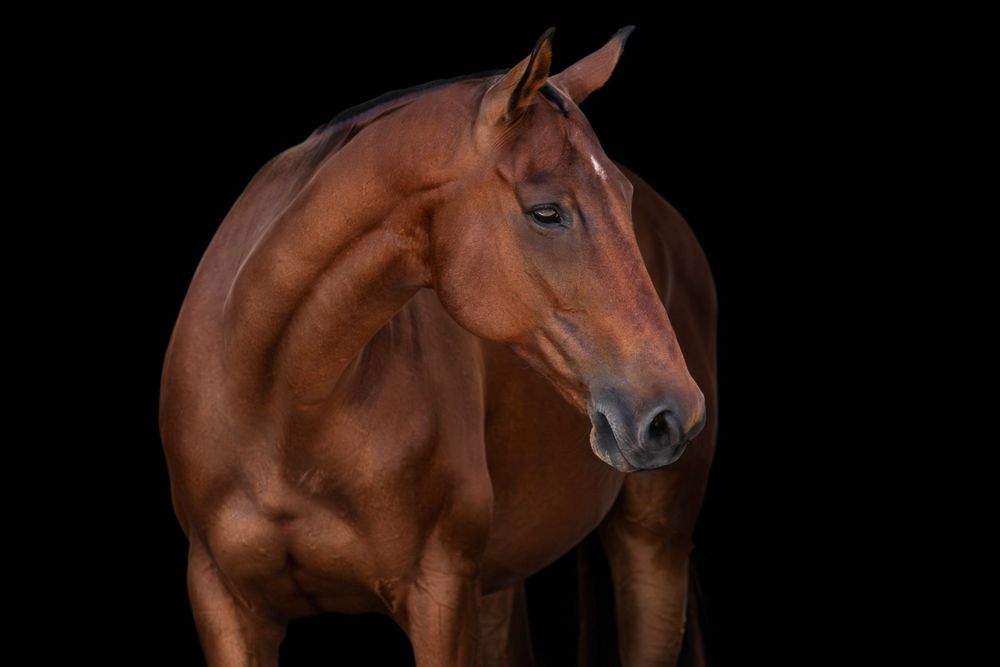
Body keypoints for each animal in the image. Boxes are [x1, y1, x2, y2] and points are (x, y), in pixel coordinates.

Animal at [159, 26, 717, 667]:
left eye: (623, 198)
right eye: (546, 212)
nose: (674, 413)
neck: (276, 401)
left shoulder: (439, 597)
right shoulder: (225, 603)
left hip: (652, 547)